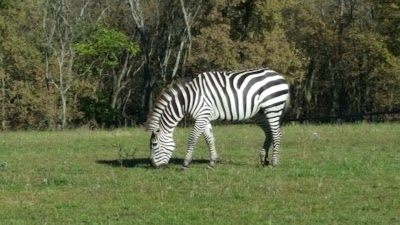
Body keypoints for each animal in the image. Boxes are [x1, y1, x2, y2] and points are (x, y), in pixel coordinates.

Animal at [145, 68, 290, 169]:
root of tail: (280, 76)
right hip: (260, 113)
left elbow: (192, 139)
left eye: (154, 144)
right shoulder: (204, 117)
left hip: (273, 108)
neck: (188, 99)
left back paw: (273, 163)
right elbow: (209, 139)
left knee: (277, 134)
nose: (153, 165)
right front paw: (212, 162)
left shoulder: (202, 115)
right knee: (269, 132)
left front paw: (185, 164)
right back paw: (264, 160)